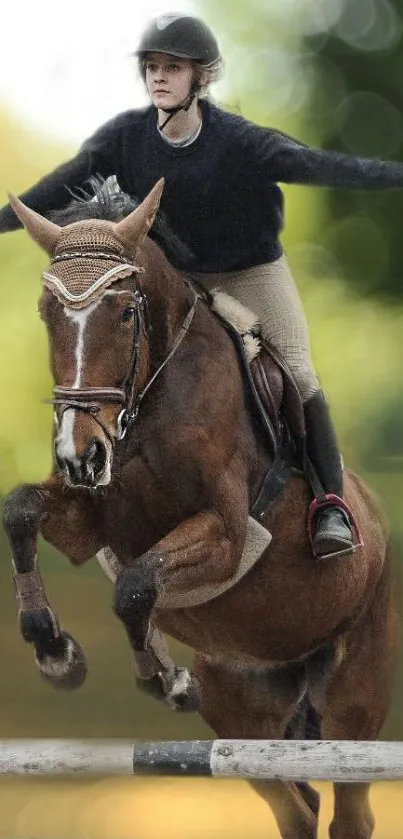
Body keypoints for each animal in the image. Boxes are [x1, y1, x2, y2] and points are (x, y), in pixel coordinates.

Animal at [3, 180, 400, 839]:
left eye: (126, 313)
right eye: (47, 314)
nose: (78, 456)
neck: (149, 405)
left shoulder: (229, 536)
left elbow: (136, 585)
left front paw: (161, 679)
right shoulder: (89, 521)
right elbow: (19, 510)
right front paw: (55, 652)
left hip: (354, 698)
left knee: (350, 811)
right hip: (241, 704)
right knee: (295, 809)